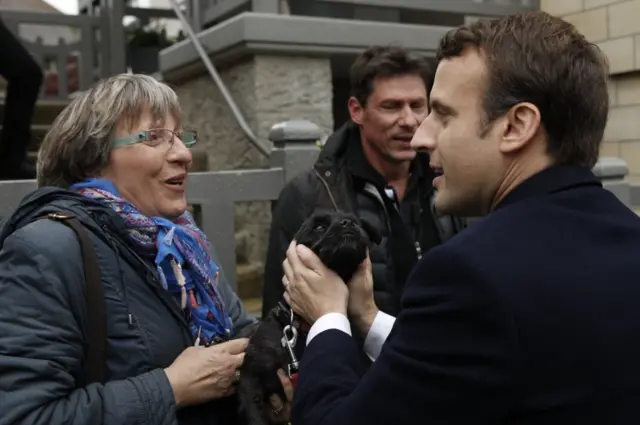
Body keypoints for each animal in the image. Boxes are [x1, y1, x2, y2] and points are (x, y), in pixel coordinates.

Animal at [238, 210, 382, 422]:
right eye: (319, 227)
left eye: (357, 223)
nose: (348, 223)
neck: (303, 327)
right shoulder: (249, 378)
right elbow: (254, 416)